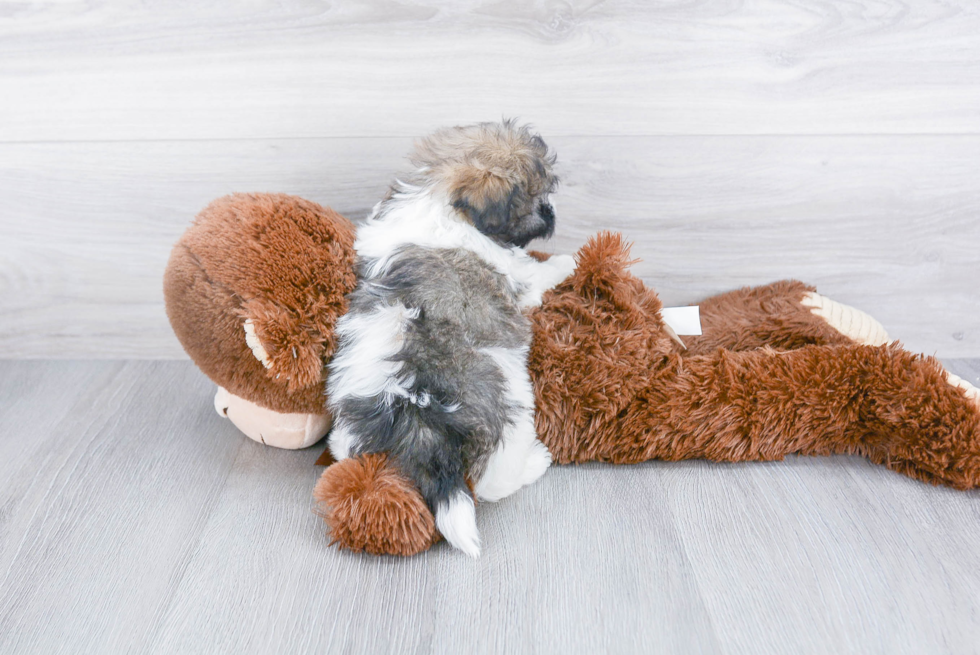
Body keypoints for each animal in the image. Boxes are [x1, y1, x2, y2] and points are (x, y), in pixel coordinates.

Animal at [326, 120, 580, 556]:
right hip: (511, 417)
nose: (552, 214)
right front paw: (569, 260)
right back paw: (537, 461)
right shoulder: (517, 277)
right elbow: (536, 272)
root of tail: (416, 410)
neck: (438, 195)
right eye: (536, 199)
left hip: (353, 421)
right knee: (493, 483)